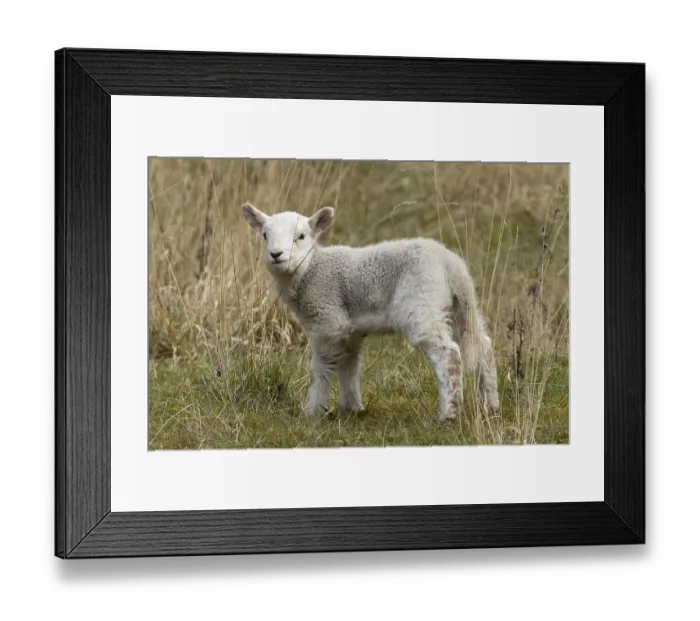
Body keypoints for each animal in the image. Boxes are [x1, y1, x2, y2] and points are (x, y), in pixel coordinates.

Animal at [241, 202, 500, 422]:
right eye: (265, 235)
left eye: (301, 236)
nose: (276, 255)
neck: (311, 269)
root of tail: (452, 264)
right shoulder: (350, 329)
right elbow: (349, 365)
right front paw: (352, 408)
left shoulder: (328, 320)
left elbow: (320, 370)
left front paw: (311, 411)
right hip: (458, 308)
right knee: (483, 345)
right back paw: (490, 405)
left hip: (423, 304)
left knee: (449, 354)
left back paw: (449, 414)